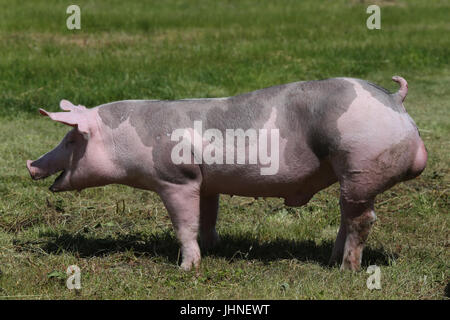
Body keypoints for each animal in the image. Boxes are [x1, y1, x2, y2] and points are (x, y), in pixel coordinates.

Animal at [26, 76, 428, 272]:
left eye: (70, 138)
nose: (30, 165)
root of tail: (394, 101)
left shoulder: (176, 179)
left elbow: (184, 225)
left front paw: (187, 268)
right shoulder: (205, 182)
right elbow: (207, 216)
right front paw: (214, 248)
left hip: (361, 165)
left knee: (363, 219)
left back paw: (347, 269)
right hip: (350, 175)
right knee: (347, 216)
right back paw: (331, 260)